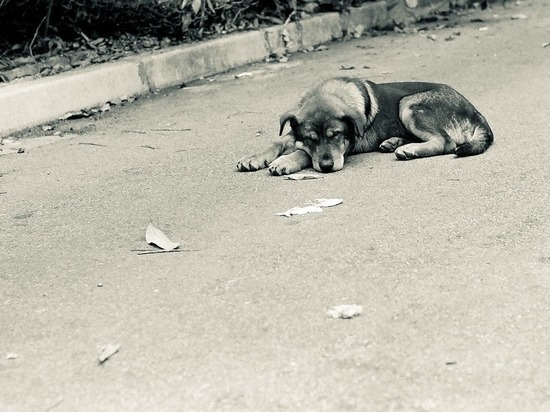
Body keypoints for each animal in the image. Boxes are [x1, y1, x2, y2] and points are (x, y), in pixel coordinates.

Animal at [237, 76, 496, 175]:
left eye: (336, 135)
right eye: (311, 138)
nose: (327, 167)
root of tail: (476, 111)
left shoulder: (346, 147)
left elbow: (302, 154)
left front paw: (286, 161)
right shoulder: (295, 131)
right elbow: (279, 141)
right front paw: (254, 157)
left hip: (408, 104)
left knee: (445, 141)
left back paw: (408, 150)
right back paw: (394, 142)